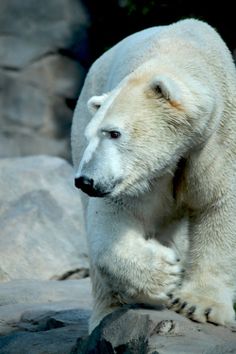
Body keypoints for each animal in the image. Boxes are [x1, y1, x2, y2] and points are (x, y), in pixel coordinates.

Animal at [71, 18, 236, 332]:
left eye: (114, 132)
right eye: (91, 135)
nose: (85, 181)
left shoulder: (218, 139)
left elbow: (219, 203)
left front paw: (200, 305)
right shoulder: (141, 175)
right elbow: (113, 217)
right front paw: (165, 273)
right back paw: (107, 312)